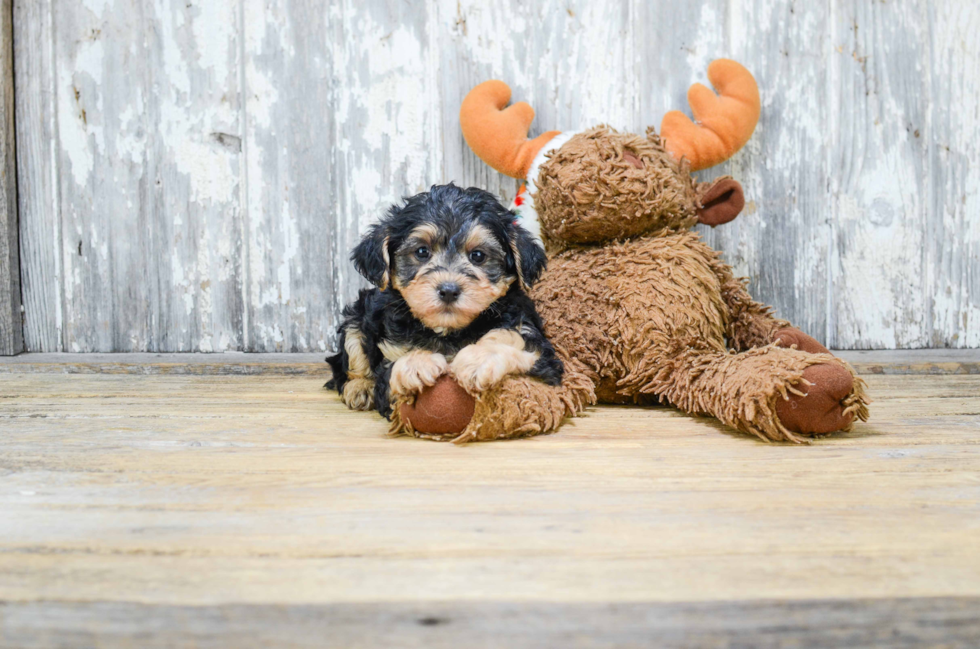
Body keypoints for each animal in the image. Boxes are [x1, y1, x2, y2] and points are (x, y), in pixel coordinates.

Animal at [326, 185, 564, 420]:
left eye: (478, 256)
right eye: (422, 252)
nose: (449, 291)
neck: (449, 330)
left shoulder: (541, 353)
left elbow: (511, 338)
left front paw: (479, 358)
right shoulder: (389, 358)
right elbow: (391, 374)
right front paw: (416, 362)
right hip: (357, 316)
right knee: (350, 357)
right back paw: (360, 387)